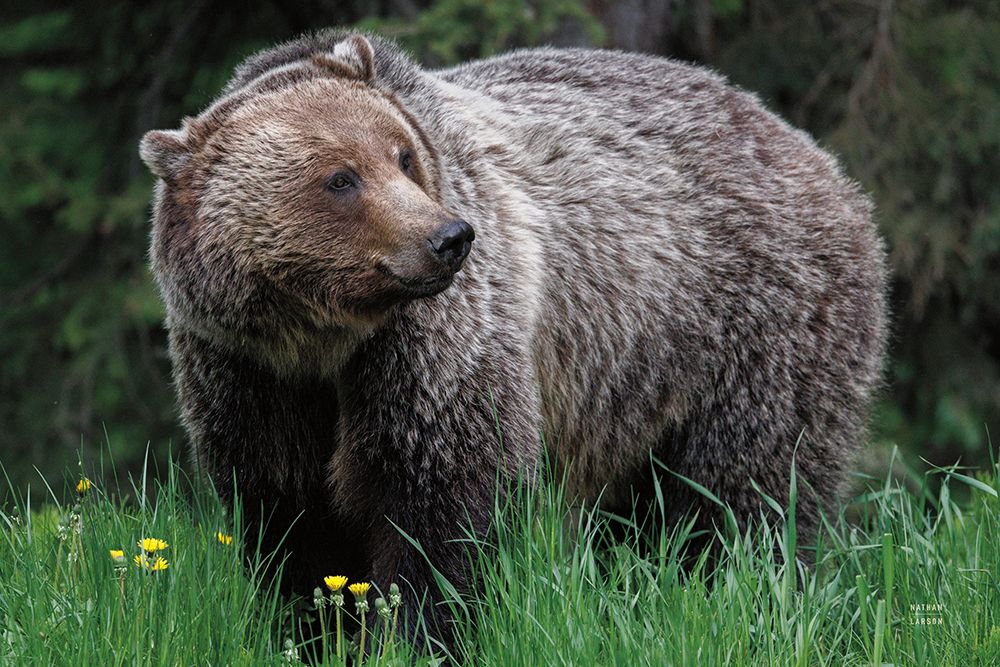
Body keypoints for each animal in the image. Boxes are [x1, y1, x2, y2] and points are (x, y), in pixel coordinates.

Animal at [139, 30, 887, 644]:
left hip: (750, 323)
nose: (447, 237)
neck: (324, 338)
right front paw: (314, 629)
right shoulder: (247, 371)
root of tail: (814, 153)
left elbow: (443, 500)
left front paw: (416, 634)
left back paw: (747, 593)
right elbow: (289, 514)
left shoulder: (435, 349)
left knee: (746, 492)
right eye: (340, 178)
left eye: (402, 156)